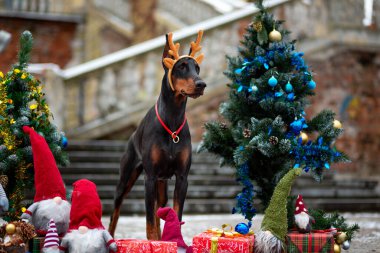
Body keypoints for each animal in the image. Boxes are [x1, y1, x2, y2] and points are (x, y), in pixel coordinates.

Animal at [108, 30, 206, 240]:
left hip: (162, 186)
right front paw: (154, 241)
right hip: (126, 179)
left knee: (160, 209)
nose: (202, 84)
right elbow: (150, 221)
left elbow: (175, 214)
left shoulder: (182, 178)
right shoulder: (150, 177)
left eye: (197, 68)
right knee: (116, 212)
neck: (173, 120)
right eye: (181, 66)